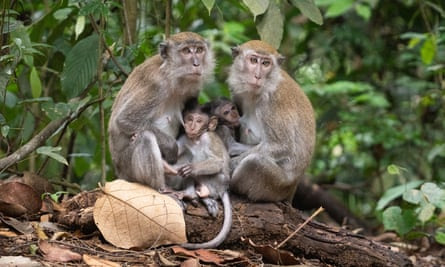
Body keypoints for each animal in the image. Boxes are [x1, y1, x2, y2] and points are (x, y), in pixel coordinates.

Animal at [106, 32, 212, 191]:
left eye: (199, 50)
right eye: (186, 51)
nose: (196, 64)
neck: (171, 75)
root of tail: (119, 173)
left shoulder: (193, 90)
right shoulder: (156, 86)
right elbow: (125, 120)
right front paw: (171, 147)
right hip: (128, 170)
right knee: (145, 137)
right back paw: (161, 188)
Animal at [164, 100, 231, 249]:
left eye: (199, 121)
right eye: (190, 119)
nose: (192, 126)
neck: (196, 139)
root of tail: (224, 189)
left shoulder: (208, 138)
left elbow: (217, 161)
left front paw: (192, 168)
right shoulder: (185, 138)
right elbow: (174, 155)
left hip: (219, 182)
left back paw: (202, 193)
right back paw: (191, 193)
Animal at [225, 39, 316, 203]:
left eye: (266, 63)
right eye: (253, 60)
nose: (257, 76)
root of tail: (292, 189)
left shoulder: (273, 102)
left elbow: (282, 145)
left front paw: (229, 163)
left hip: (277, 186)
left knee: (254, 162)